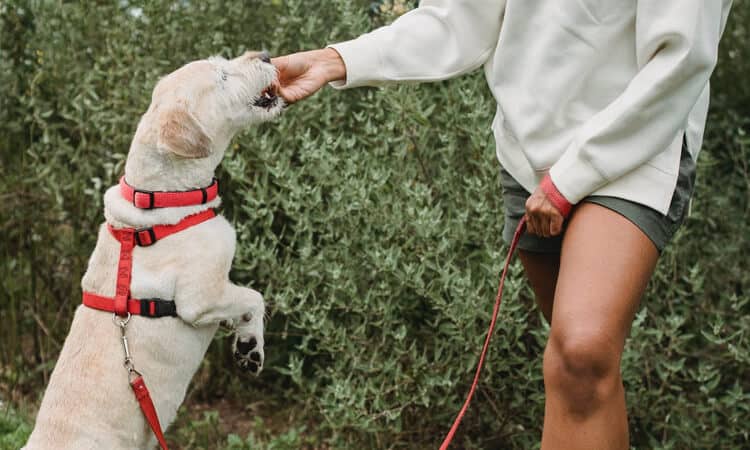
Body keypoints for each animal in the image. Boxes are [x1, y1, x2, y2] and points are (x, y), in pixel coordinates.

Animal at [25, 51, 284, 448]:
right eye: (223, 76)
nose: (267, 55)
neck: (163, 197)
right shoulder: (200, 298)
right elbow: (254, 297)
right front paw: (251, 347)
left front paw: (247, 345)